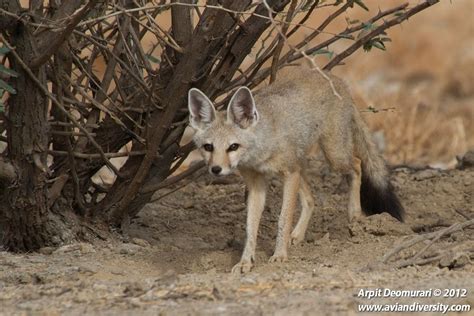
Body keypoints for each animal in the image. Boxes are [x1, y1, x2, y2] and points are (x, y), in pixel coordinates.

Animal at [187, 69, 402, 274]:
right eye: (208, 147)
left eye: (233, 147)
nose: (216, 169)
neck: (260, 150)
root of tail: (336, 79)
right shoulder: (257, 184)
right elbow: (250, 228)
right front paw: (245, 262)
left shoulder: (289, 173)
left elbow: (283, 219)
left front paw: (280, 255)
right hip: (304, 164)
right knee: (310, 199)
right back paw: (298, 235)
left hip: (334, 155)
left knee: (357, 166)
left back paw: (355, 216)